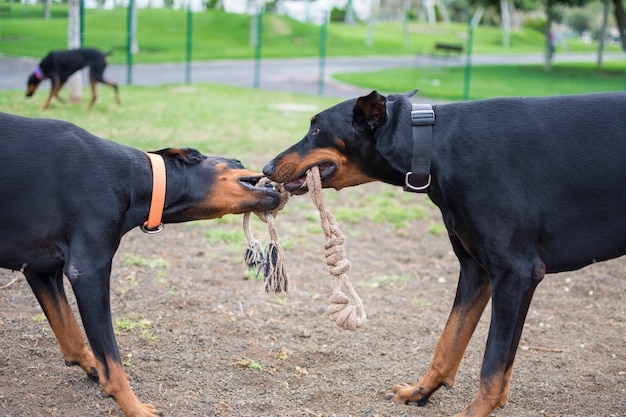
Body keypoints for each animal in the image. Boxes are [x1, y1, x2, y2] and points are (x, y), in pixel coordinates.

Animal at [0, 111, 278, 416]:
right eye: (236, 163)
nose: (268, 172)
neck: (138, 179)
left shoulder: (40, 269)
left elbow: (72, 335)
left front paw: (92, 366)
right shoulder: (89, 271)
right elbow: (112, 362)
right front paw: (135, 407)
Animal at [262, 91, 624, 416]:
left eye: (317, 130)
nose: (266, 167)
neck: (434, 144)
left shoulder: (516, 273)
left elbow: (492, 367)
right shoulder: (477, 271)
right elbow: (449, 341)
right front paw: (419, 391)